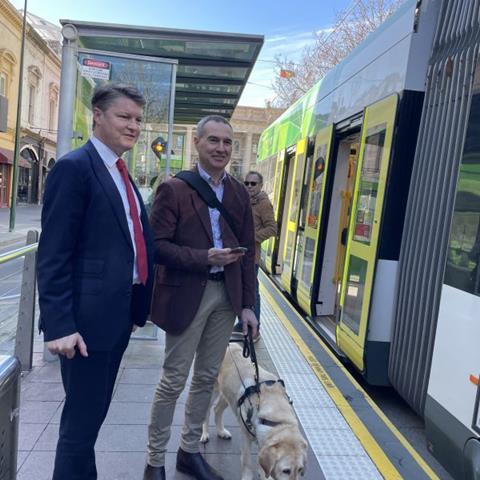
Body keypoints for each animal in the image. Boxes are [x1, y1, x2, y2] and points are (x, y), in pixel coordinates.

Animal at [202, 344, 308, 478]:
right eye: (286, 471)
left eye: (300, 469)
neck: (276, 420)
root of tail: (229, 344)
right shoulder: (245, 436)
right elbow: (247, 462)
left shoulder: (262, 441)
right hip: (210, 390)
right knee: (206, 413)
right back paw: (204, 434)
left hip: (229, 396)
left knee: (217, 409)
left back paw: (221, 432)